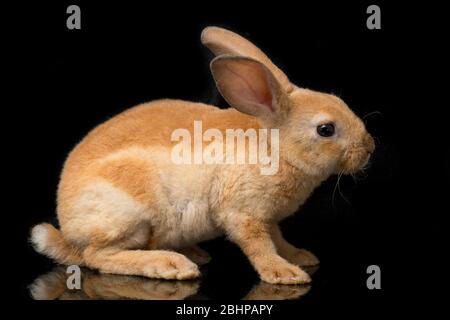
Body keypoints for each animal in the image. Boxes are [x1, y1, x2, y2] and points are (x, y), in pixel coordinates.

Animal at [29, 26, 374, 284]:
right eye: (326, 129)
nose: (369, 148)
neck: (276, 147)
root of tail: (67, 231)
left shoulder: (268, 218)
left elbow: (278, 239)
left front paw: (301, 257)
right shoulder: (242, 214)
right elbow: (259, 245)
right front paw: (284, 273)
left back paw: (193, 253)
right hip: (129, 215)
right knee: (98, 256)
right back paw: (170, 264)